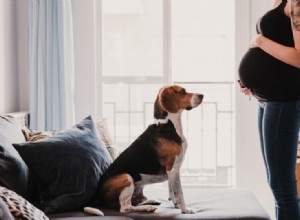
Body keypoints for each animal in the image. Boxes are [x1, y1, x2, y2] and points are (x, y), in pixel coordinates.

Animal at [97, 85, 203, 214]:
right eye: (182, 92)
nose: (202, 95)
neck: (168, 124)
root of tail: (99, 198)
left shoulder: (172, 171)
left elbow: (171, 190)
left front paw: (176, 204)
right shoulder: (173, 169)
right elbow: (179, 193)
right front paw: (185, 210)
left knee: (137, 200)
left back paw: (150, 201)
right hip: (126, 177)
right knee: (126, 207)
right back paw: (147, 208)